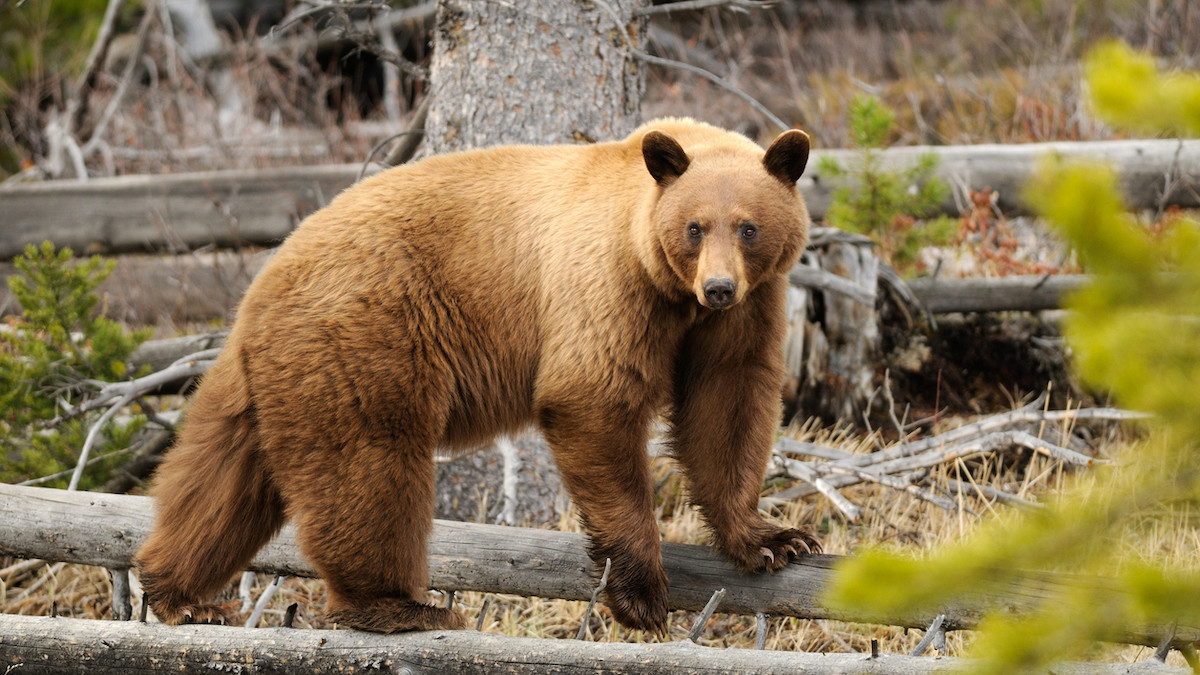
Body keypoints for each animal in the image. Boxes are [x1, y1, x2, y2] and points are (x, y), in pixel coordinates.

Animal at [134, 117, 820, 634]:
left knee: (219, 477)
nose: (719, 286)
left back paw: (177, 591)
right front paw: (642, 594)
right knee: (370, 468)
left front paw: (775, 539)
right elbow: (591, 398)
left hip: (270, 374)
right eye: (694, 227)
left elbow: (727, 402)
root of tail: (264, 280)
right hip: (366, 341)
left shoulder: (745, 311)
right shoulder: (608, 284)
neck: (672, 290)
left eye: (749, 227)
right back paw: (401, 604)